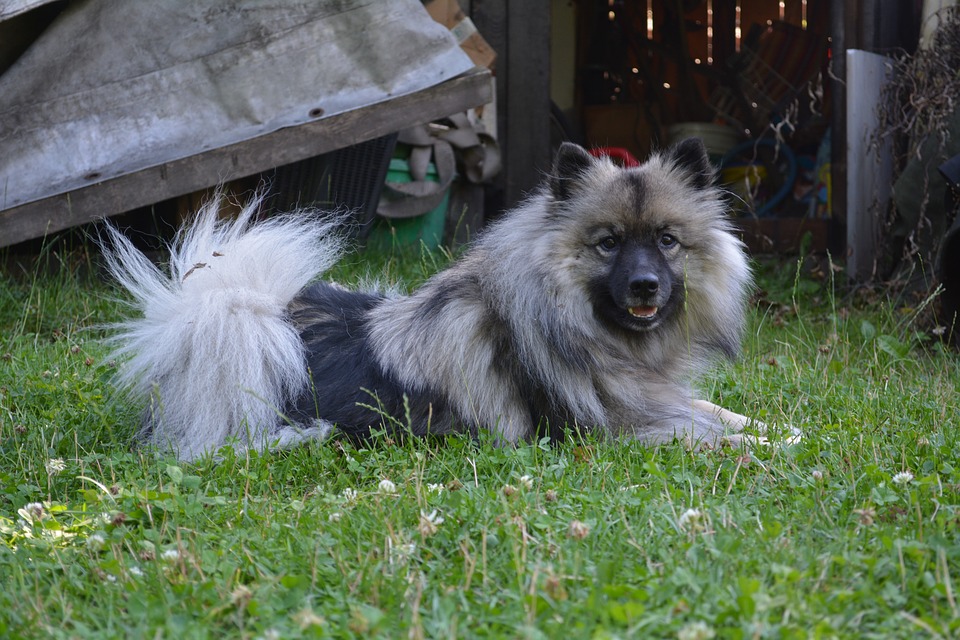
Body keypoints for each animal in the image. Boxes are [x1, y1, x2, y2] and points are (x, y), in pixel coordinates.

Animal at [99, 140, 756, 460]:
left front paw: (767, 426)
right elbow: (708, 434)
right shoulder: (614, 430)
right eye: (609, 243)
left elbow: (722, 414)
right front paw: (762, 448)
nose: (645, 285)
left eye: (667, 241)